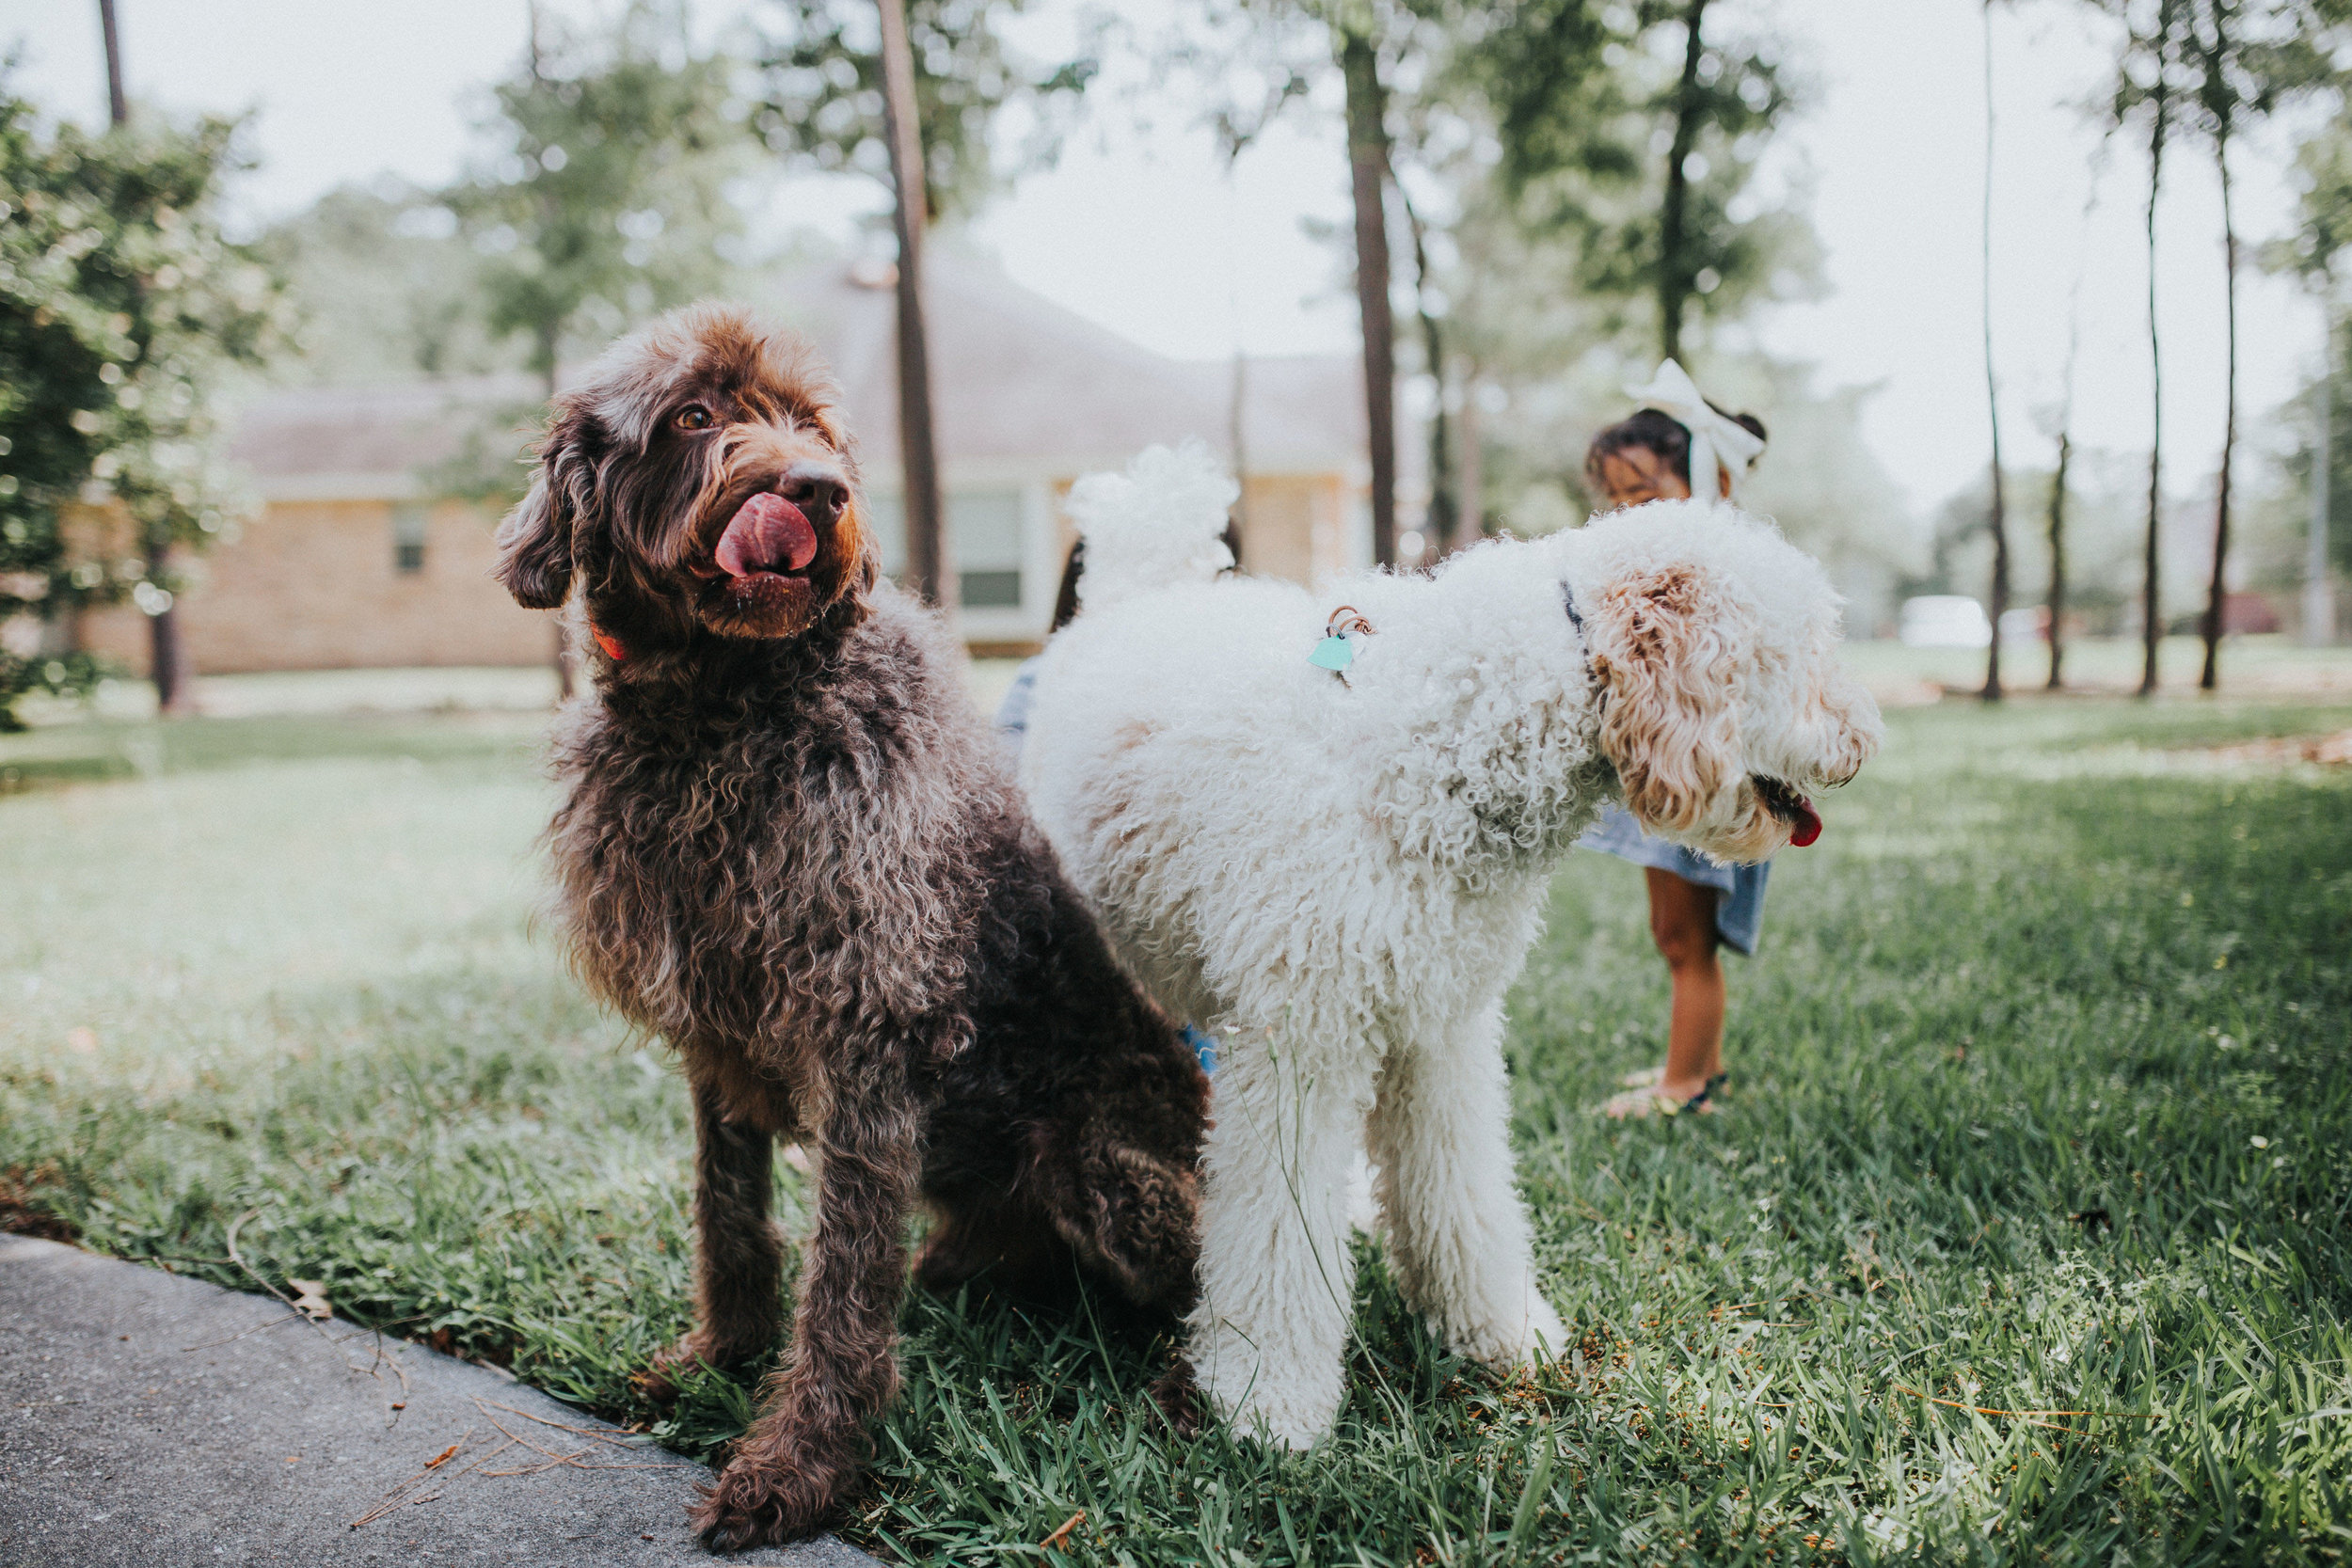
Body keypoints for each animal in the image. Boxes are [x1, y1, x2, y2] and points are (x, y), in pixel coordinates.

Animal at [489, 303, 1204, 1542]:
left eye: (814, 425)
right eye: (694, 414)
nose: (817, 490)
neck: (723, 705)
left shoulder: (870, 1024)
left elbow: (842, 1278)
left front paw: (802, 1464)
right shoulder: (716, 1031)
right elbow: (728, 1212)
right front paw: (727, 1351)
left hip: (1109, 1173)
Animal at [1021, 444, 1882, 1448]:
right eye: (1806, 647)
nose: (1865, 740)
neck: (1438, 737)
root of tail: (1135, 591)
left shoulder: (1439, 1031)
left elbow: (1461, 1195)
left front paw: (1497, 1334)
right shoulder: (1300, 1045)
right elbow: (1278, 1234)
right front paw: (1267, 1398)